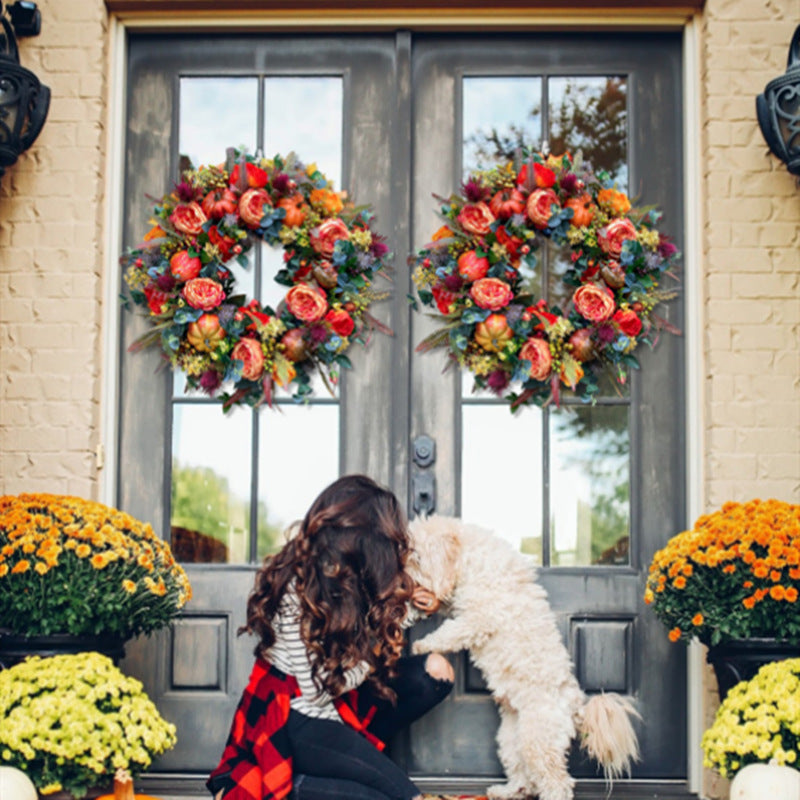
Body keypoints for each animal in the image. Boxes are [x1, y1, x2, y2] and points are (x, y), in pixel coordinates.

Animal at [410, 512, 640, 800]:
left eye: (415, 556)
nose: (402, 575)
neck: (473, 561)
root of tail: (575, 706)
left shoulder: (477, 619)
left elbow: (449, 632)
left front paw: (422, 644)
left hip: (537, 741)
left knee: (556, 783)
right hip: (511, 740)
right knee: (524, 778)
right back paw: (506, 791)